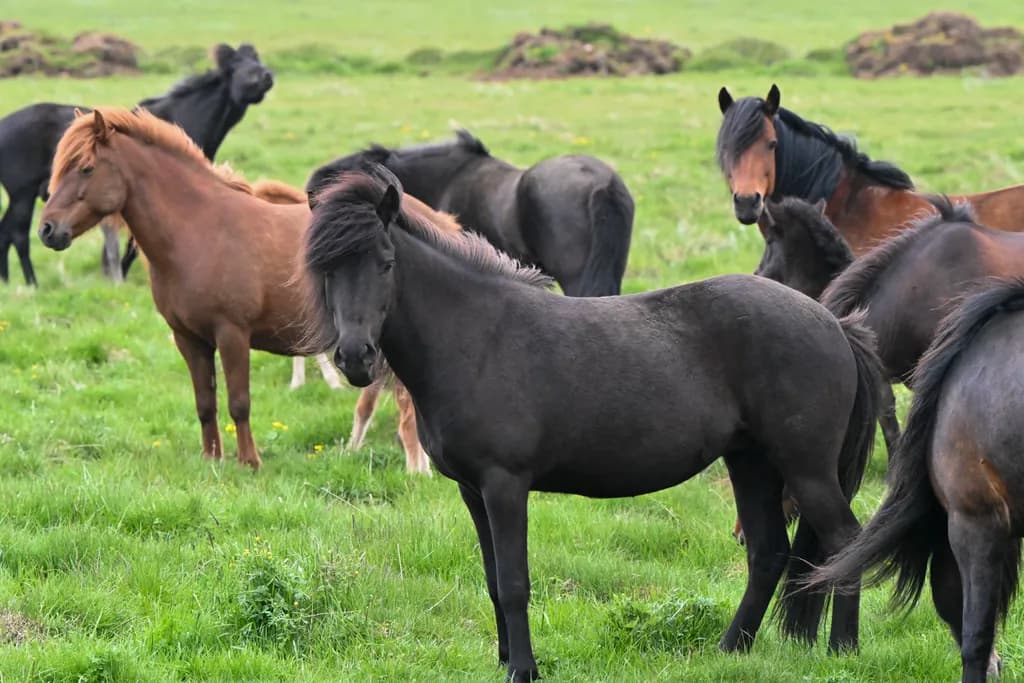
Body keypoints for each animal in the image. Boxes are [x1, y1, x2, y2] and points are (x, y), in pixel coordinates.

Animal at [0, 43, 273, 286]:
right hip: (22, 196)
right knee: (18, 235)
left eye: (256, 58)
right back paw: (31, 283)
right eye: (235, 65)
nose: (267, 75)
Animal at [302, 168, 885, 681]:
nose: (355, 358)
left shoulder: (505, 485)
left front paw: (523, 668)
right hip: (751, 462)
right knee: (768, 553)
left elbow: (514, 582)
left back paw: (843, 649)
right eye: (327, 268)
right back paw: (729, 650)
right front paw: (502, 659)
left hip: (805, 469)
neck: (476, 336)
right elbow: (492, 580)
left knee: (843, 541)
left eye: (384, 262)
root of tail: (834, 322)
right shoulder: (472, 490)